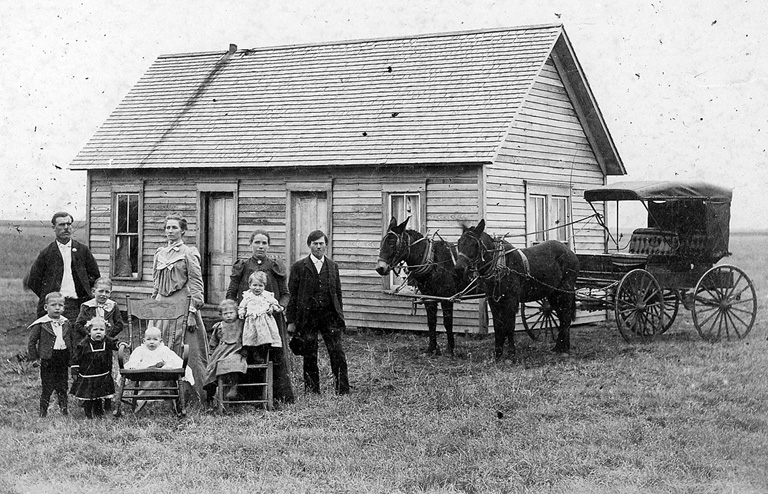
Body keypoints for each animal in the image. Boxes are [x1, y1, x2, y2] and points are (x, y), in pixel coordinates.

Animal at [376, 216, 468, 356]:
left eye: (391, 243)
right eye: (382, 242)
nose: (380, 268)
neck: (433, 260)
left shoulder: (447, 297)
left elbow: (447, 323)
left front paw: (450, 349)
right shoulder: (429, 297)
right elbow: (431, 322)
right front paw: (431, 348)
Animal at [456, 220, 576, 358]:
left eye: (475, 244)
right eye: (459, 242)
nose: (459, 268)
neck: (501, 264)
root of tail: (570, 252)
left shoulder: (511, 301)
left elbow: (509, 326)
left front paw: (511, 354)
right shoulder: (494, 301)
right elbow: (498, 326)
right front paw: (498, 354)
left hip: (565, 292)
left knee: (566, 317)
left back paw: (564, 349)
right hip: (553, 294)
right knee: (562, 317)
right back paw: (559, 347)